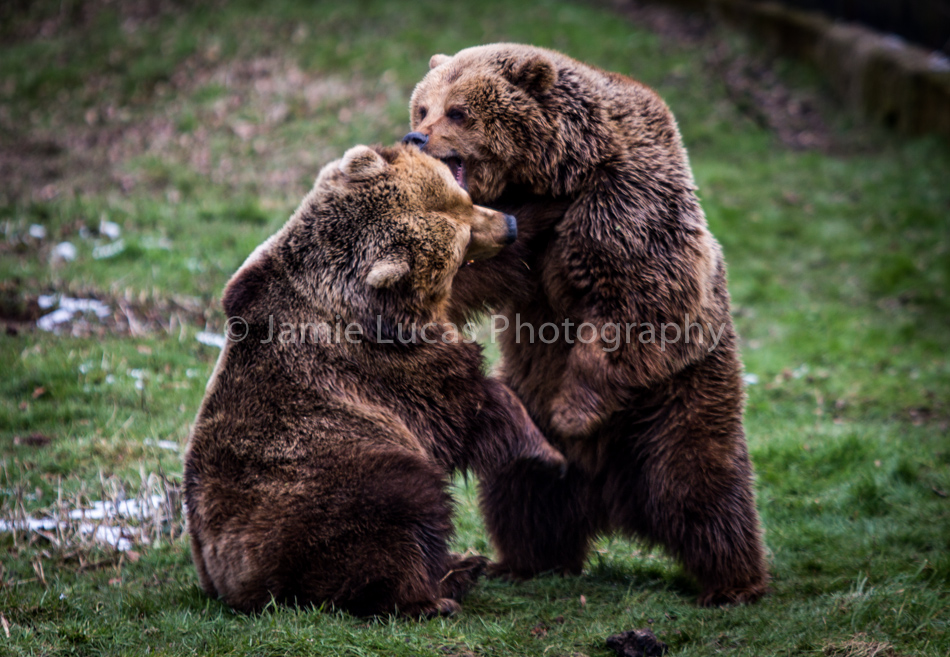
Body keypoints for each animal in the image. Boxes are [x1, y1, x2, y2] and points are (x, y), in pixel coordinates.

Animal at [182, 142, 566, 617]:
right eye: (461, 239)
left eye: (463, 198)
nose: (506, 228)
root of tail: (223, 583)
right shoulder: (385, 364)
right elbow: (467, 407)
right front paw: (549, 454)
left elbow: (486, 279)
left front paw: (548, 208)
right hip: (328, 489)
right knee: (402, 513)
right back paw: (434, 594)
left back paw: (463, 567)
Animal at [404, 43, 769, 606]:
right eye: (423, 108)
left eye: (459, 112)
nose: (416, 137)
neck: (558, 172)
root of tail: (609, 494)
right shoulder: (519, 232)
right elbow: (475, 269)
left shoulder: (624, 204)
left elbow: (639, 302)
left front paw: (575, 410)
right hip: (525, 410)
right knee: (520, 489)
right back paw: (522, 562)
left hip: (678, 395)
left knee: (699, 482)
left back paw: (733, 583)